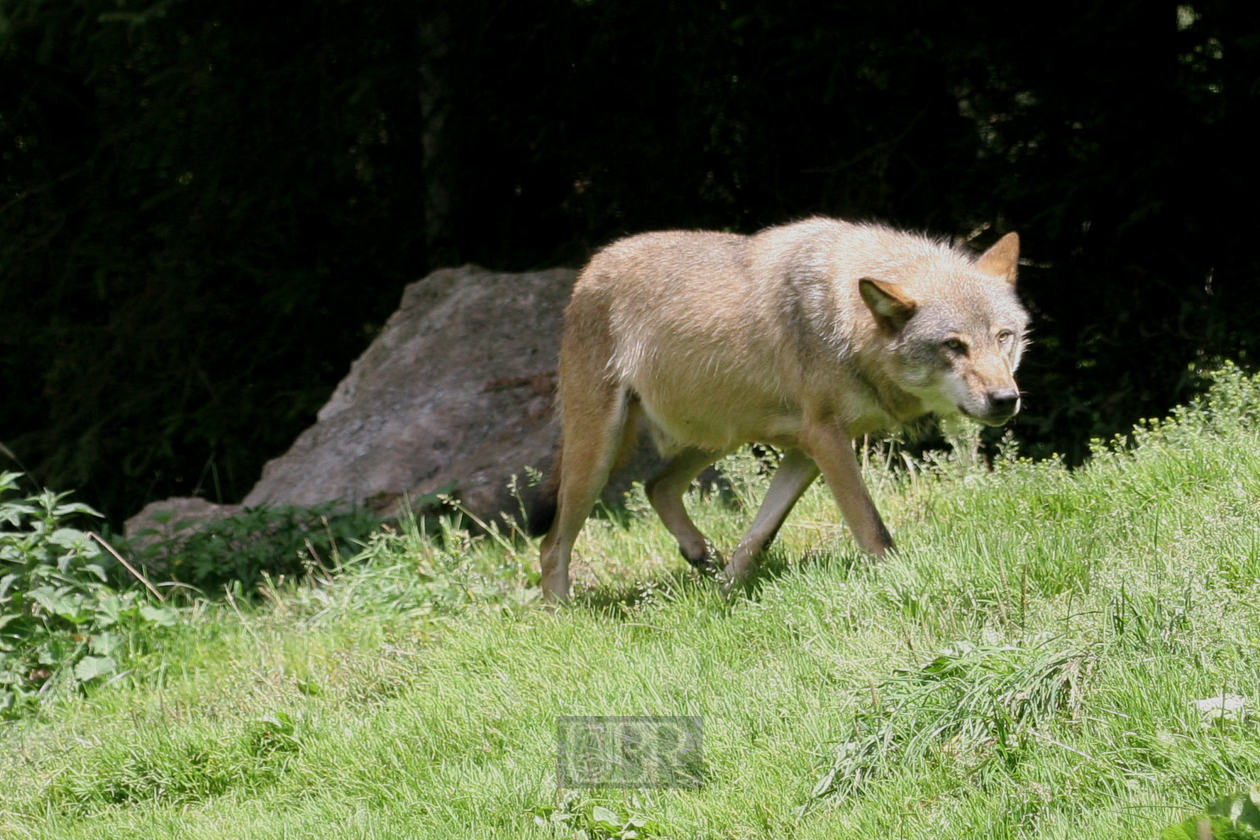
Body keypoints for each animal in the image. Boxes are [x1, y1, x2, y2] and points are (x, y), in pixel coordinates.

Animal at [526, 216, 1028, 596]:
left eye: (1004, 336)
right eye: (954, 346)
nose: (1006, 400)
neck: (845, 321)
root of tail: (592, 266)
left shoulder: (809, 448)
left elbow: (758, 535)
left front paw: (723, 595)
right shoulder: (827, 441)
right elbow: (872, 529)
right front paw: (901, 579)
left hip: (721, 435)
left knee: (658, 485)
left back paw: (700, 555)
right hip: (599, 454)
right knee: (552, 545)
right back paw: (562, 616)